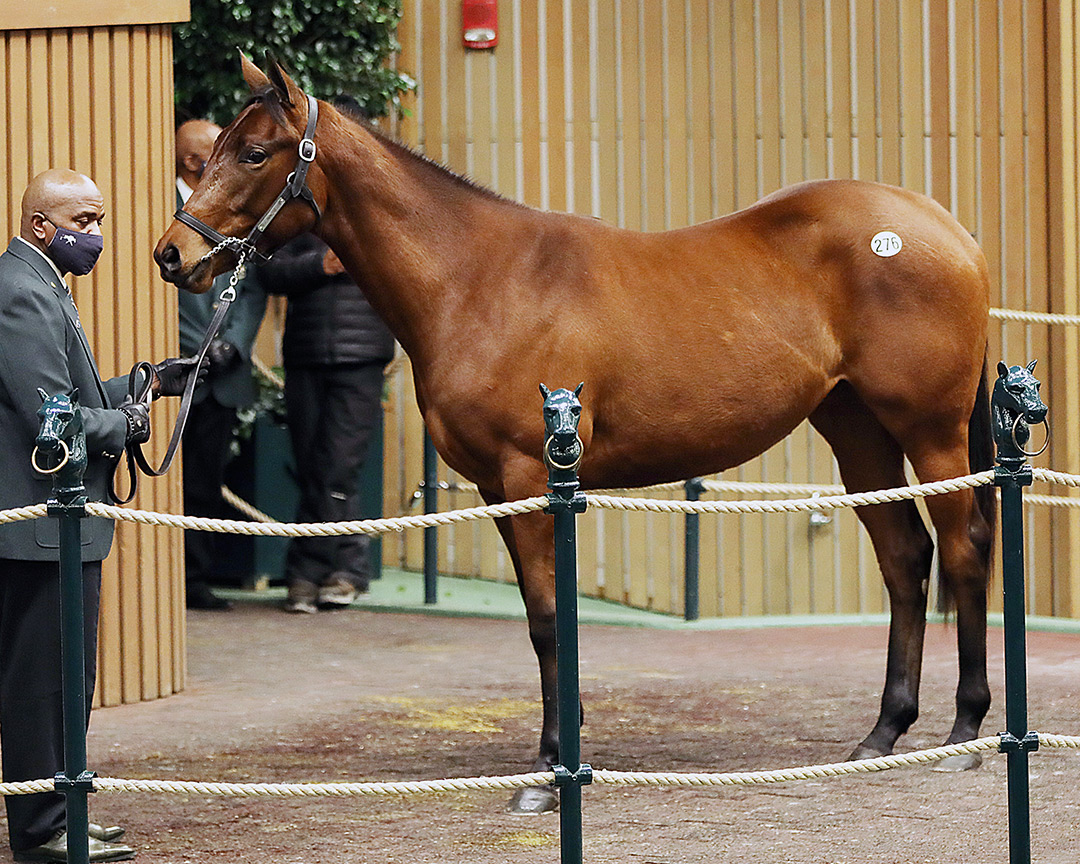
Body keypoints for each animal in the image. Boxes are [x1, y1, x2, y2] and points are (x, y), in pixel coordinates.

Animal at [154, 56, 997, 814]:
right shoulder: (496, 489)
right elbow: (543, 621)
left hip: (932, 432)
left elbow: (549, 621)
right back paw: (883, 734)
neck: (480, 279)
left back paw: (966, 732)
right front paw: (563, 749)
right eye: (218, 145)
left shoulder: (532, 478)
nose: (173, 253)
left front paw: (548, 774)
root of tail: (950, 230)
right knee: (904, 559)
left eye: (254, 152)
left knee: (962, 553)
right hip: (858, 431)